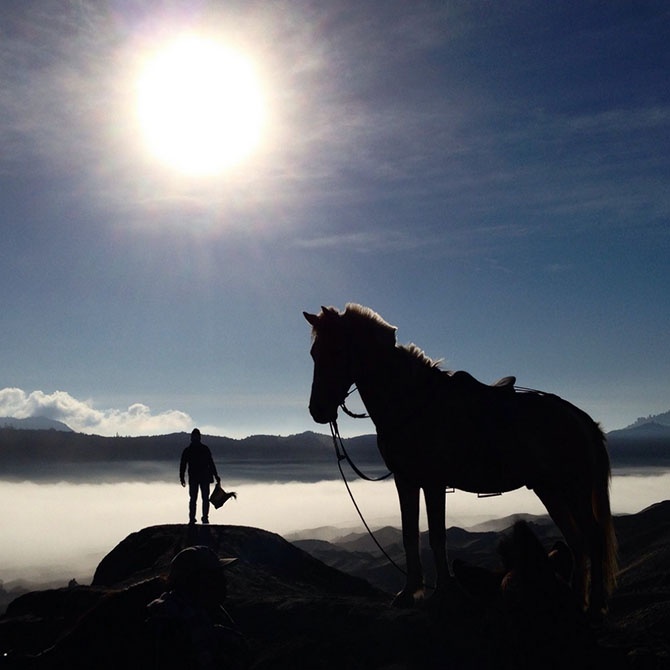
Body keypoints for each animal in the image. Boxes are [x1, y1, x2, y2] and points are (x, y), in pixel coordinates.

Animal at [304, 308, 620, 616]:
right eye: (314, 353)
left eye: (336, 351)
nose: (317, 410)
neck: (412, 403)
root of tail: (579, 418)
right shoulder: (406, 481)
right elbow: (409, 535)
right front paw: (409, 593)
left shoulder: (433, 482)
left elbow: (437, 536)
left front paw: (442, 593)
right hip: (550, 489)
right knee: (577, 542)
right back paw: (578, 601)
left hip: (574, 489)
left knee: (592, 538)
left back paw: (597, 604)